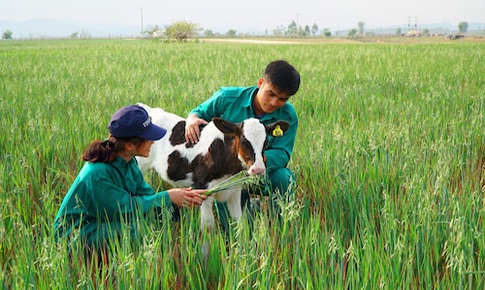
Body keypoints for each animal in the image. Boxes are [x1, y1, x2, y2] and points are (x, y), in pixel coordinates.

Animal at [134, 103, 290, 230]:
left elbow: (239, 223)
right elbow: (208, 227)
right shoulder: (202, 188)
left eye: (266, 142)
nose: (258, 169)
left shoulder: (234, 190)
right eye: (244, 141)